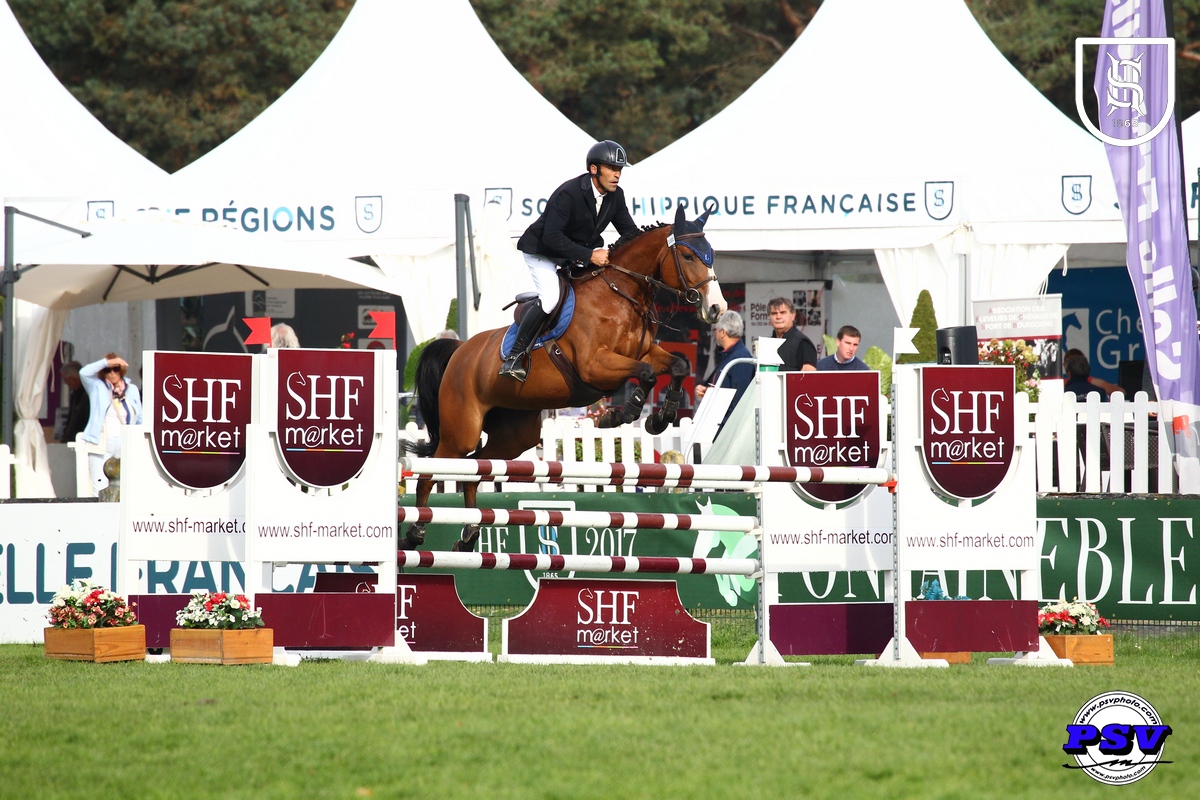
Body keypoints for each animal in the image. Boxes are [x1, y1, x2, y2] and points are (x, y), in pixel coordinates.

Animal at [402, 204, 728, 551]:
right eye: (689, 255)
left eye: (711, 254)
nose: (716, 308)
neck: (620, 295)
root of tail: (460, 351)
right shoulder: (595, 366)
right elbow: (647, 374)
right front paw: (622, 414)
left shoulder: (645, 353)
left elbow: (676, 366)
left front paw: (660, 418)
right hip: (460, 431)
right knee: (433, 470)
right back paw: (416, 532)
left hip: (514, 435)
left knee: (478, 467)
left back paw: (469, 534)